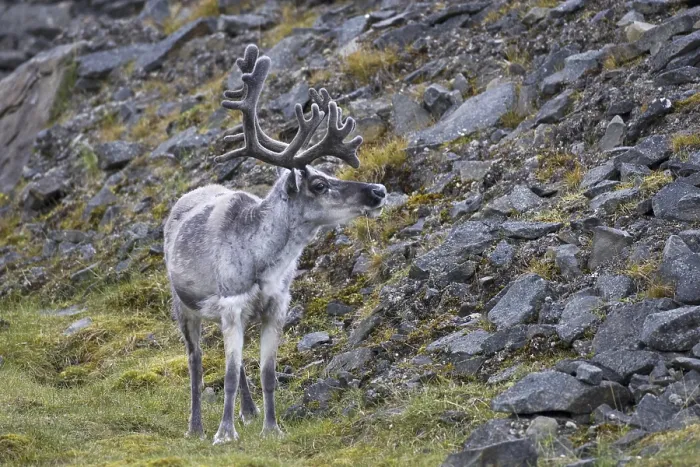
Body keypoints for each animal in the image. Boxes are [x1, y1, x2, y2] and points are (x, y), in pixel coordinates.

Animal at [163, 44, 388, 444]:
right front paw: (224, 434)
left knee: (232, 362)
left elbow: (266, 372)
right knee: (197, 360)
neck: (265, 261)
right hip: (183, 306)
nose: (378, 190)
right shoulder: (232, 303)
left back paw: (249, 412)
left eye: (327, 173)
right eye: (318, 184)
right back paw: (196, 427)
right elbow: (228, 374)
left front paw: (272, 428)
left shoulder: (275, 305)